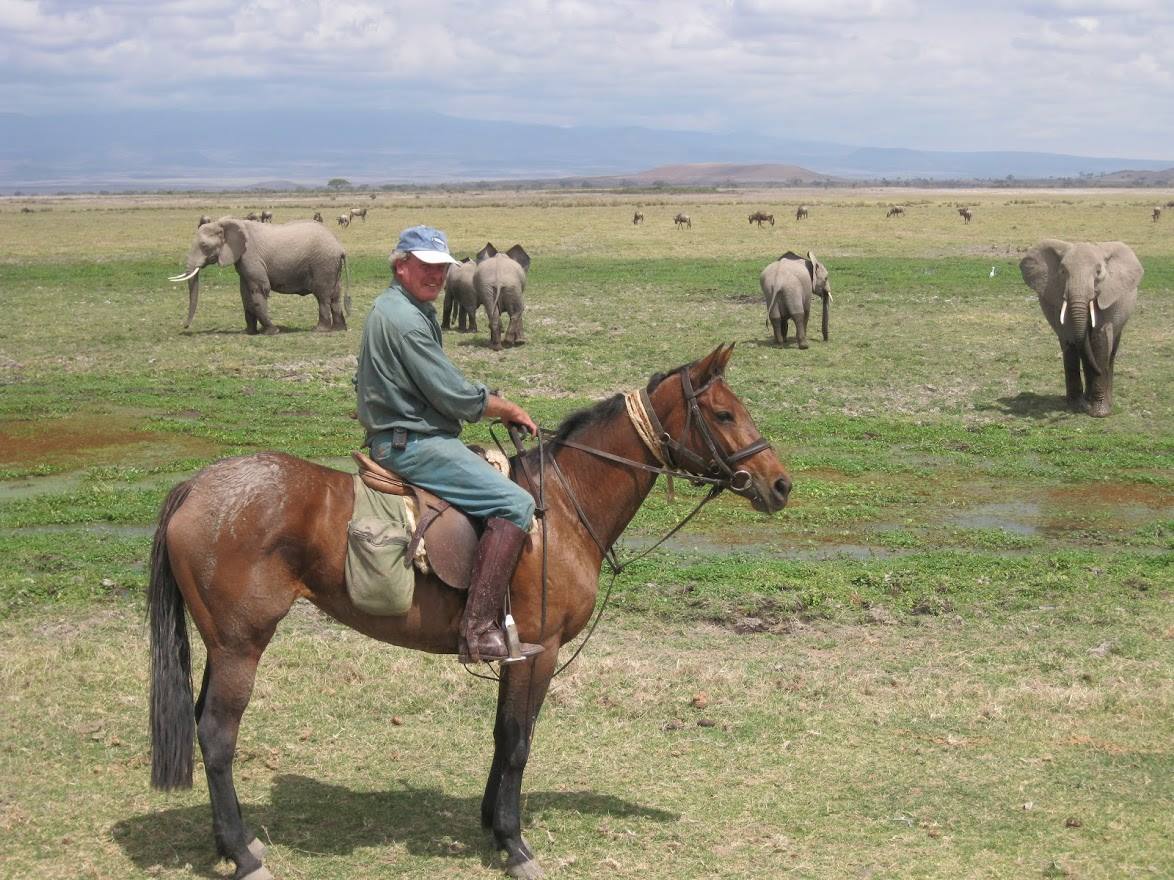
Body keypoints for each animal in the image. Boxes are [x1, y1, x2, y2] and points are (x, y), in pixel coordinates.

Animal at [148, 344, 791, 880]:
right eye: (725, 415)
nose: (780, 484)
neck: (562, 507)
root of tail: (196, 487)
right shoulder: (539, 650)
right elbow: (518, 741)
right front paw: (514, 843)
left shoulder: (515, 652)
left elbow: (504, 736)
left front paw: (491, 825)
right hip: (241, 645)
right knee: (217, 736)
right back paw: (242, 853)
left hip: (221, 646)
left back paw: (233, 843)